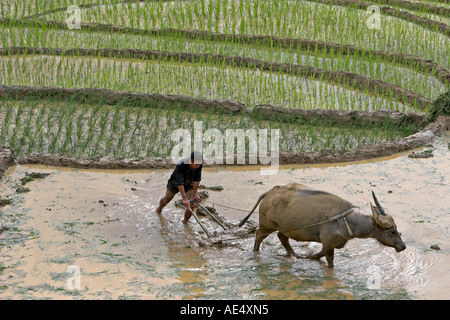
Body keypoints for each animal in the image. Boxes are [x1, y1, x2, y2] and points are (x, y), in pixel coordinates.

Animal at [241, 182, 406, 268]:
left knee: (282, 237)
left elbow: (318, 254)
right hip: (267, 226)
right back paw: (255, 252)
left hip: (286, 228)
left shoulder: (328, 244)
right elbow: (330, 262)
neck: (346, 221)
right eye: (392, 231)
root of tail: (269, 192)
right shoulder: (328, 243)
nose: (403, 246)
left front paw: (308, 257)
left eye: (397, 229)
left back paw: (293, 254)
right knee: (258, 235)